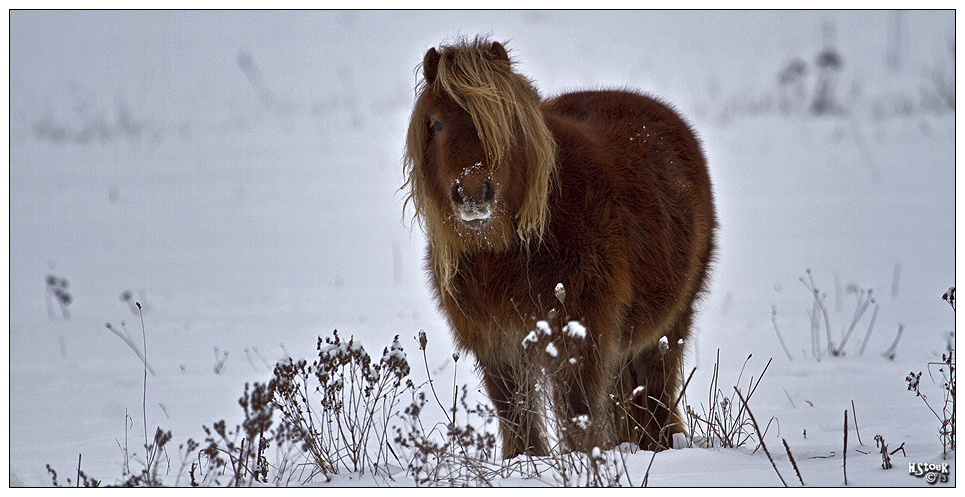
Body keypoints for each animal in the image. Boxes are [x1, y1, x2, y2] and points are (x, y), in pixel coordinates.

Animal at [402, 37, 716, 458]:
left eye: (504, 123)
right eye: (435, 124)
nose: (472, 194)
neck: (501, 254)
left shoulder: (578, 337)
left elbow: (577, 410)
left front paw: (585, 463)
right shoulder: (496, 345)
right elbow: (514, 411)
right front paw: (523, 462)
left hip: (668, 327)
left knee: (655, 394)